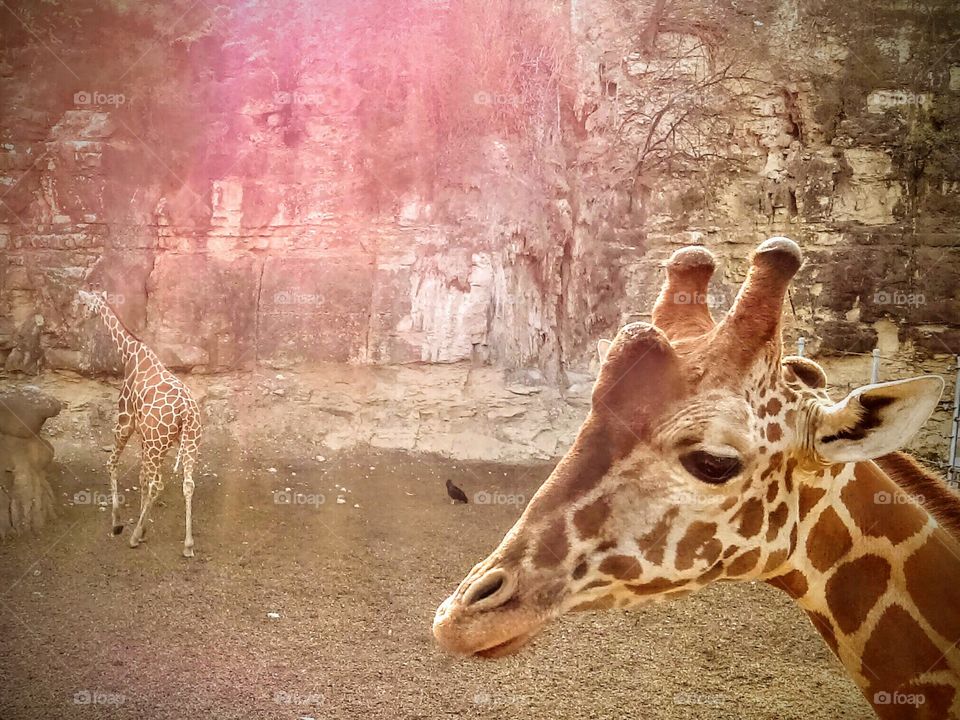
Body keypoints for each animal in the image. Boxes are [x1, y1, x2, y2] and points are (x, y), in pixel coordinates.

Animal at [77, 290, 202, 558]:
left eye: (82, 303)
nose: (78, 322)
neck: (129, 353)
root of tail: (186, 411)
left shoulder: (126, 421)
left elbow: (112, 464)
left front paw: (118, 523)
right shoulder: (145, 435)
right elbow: (142, 478)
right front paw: (143, 528)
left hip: (158, 442)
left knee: (158, 484)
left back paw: (133, 537)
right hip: (188, 442)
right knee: (187, 483)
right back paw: (187, 545)